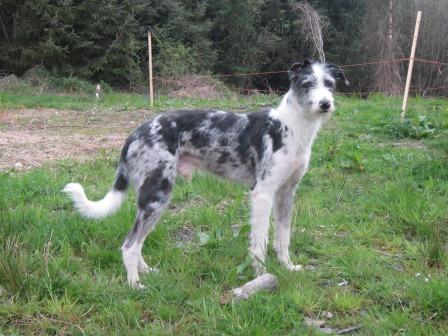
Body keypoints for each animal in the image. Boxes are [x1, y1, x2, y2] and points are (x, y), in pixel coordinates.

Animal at [64, 59, 350, 288]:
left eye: (330, 84)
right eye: (307, 84)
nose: (325, 104)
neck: (291, 126)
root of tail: (135, 133)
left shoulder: (286, 194)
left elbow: (283, 239)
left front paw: (288, 267)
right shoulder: (262, 194)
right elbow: (259, 244)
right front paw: (261, 275)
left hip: (153, 199)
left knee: (137, 241)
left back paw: (146, 272)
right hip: (158, 194)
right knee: (129, 244)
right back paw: (135, 285)